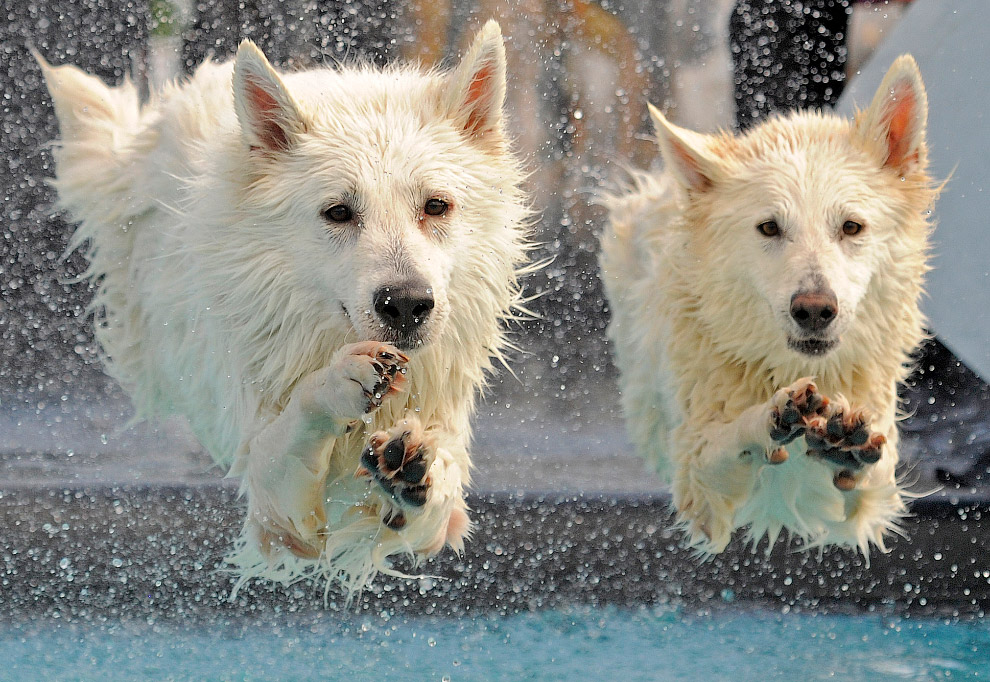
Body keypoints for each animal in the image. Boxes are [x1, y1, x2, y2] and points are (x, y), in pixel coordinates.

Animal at [36, 22, 536, 596]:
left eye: (436, 206)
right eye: (338, 212)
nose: (407, 304)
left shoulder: (435, 495)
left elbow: (439, 488)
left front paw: (416, 464)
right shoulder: (277, 512)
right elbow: (296, 425)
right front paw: (341, 382)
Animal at [604, 57, 936, 556]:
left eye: (851, 227)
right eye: (769, 228)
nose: (815, 309)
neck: (783, 367)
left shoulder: (865, 506)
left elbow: (870, 474)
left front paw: (846, 445)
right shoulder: (699, 488)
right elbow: (727, 438)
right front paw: (768, 417)